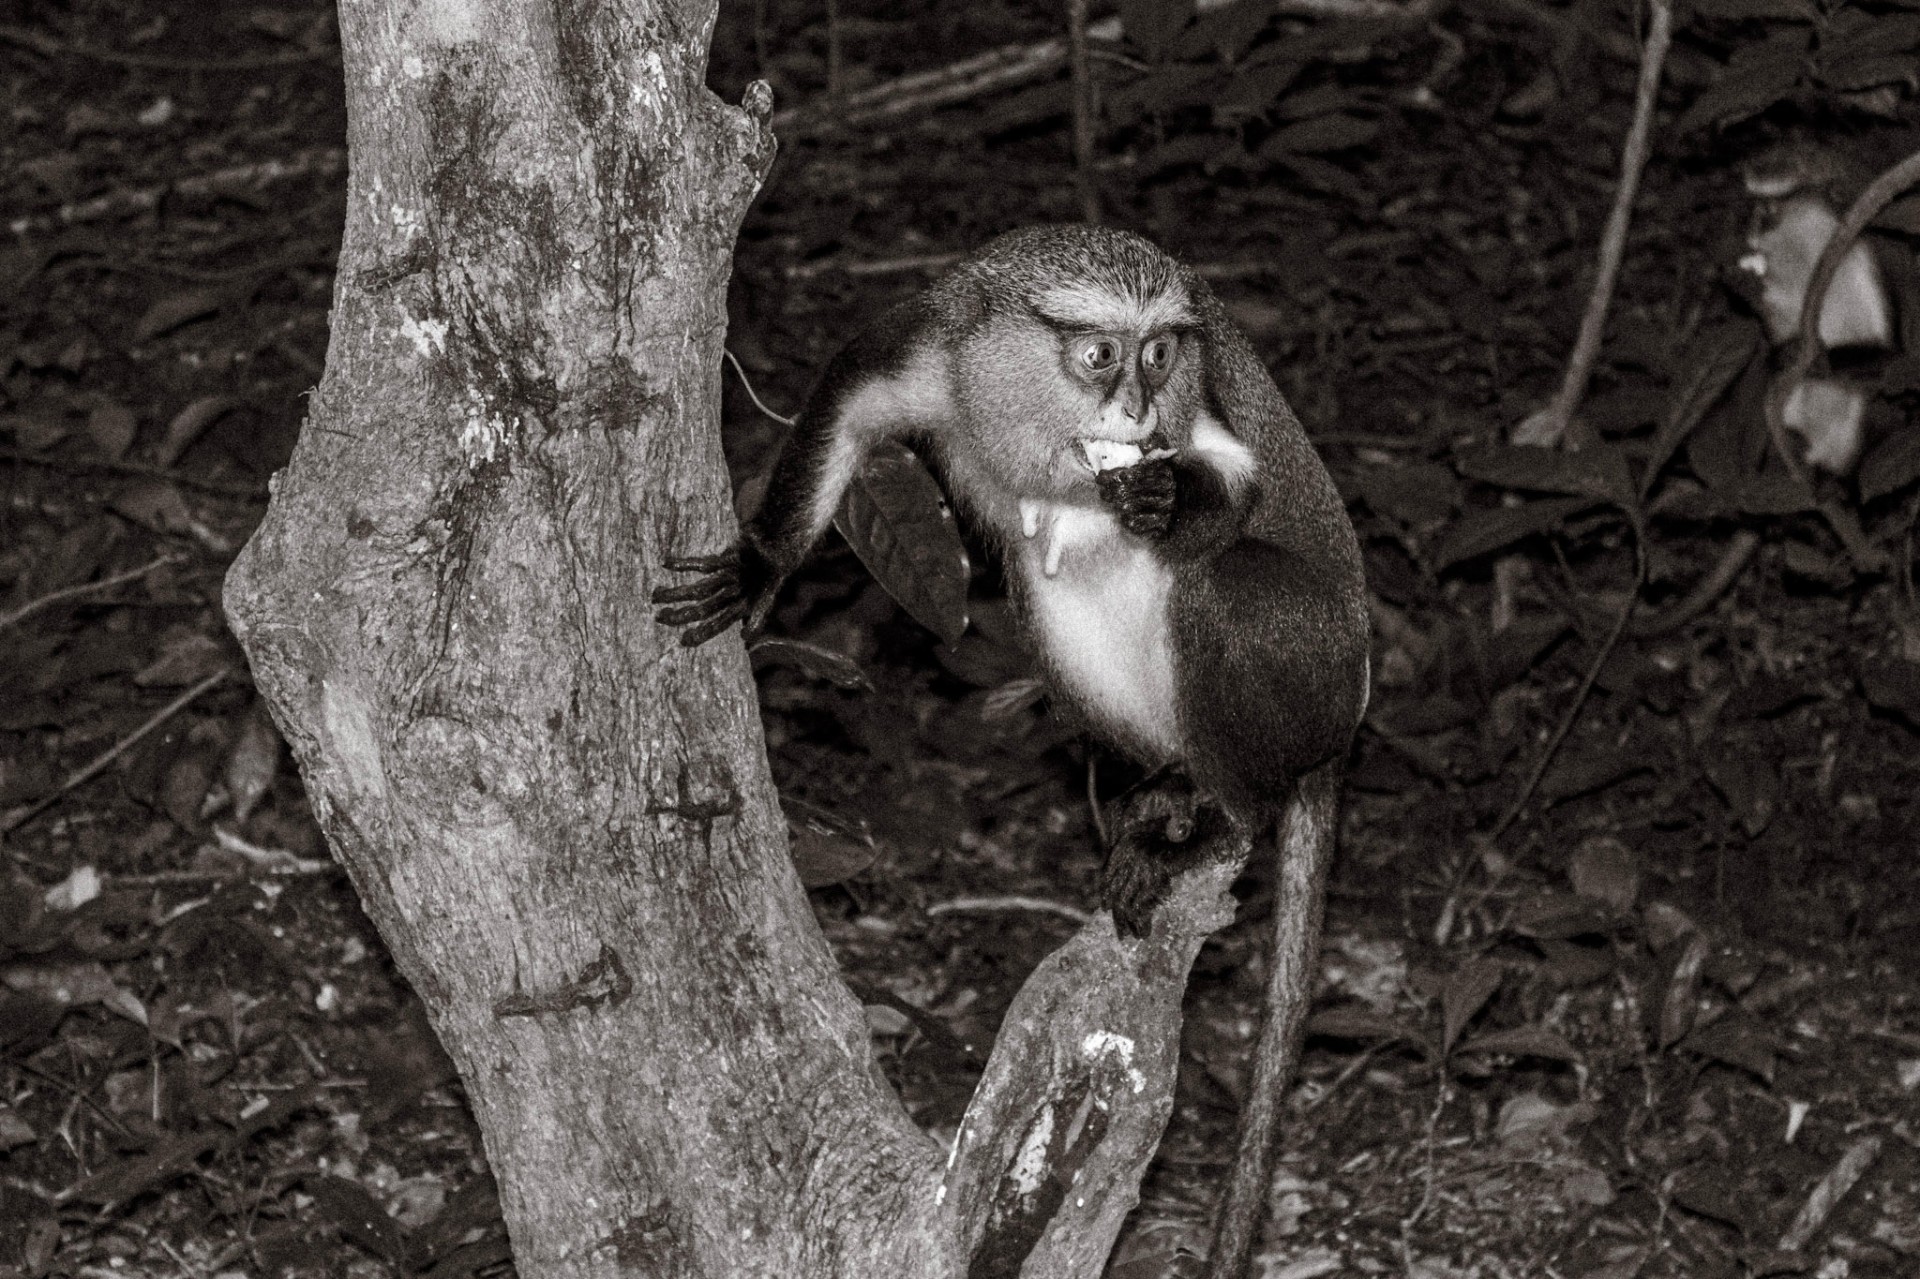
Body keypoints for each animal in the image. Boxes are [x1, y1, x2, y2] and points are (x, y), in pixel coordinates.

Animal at [654, 225, 1369, 1279]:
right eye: (1101, 355)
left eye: (1162, 355)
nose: (1137, 408)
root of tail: (1342, 729)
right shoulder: (931, 344)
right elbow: (848, 404)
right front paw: (761, 562)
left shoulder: (1203, 408)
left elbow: (1238, 498)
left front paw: (1170, 496)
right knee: (1043, 579)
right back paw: (1170, 786)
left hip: (1310, 665)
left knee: (1224, 588)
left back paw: (1219, 818)